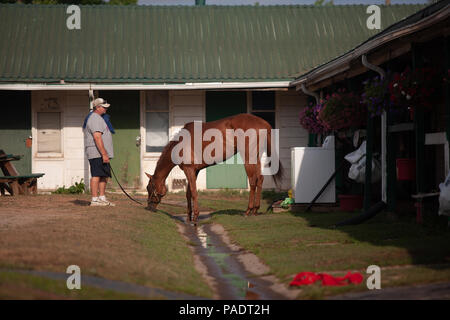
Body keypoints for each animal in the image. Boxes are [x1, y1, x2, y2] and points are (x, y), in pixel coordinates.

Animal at [146, 114, 284, 222]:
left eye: (149, 188)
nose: (149, 208)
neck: (180, 143)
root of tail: (263, 123)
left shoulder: (189, 170)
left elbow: (194, 192)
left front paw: (195, 217)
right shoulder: (194, 171)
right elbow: (188, 193)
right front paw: (189, 217)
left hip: (248, 158)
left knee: (252, 181)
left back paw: (248, 211)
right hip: (257, 157)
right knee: (260, 179)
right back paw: (255, 210)